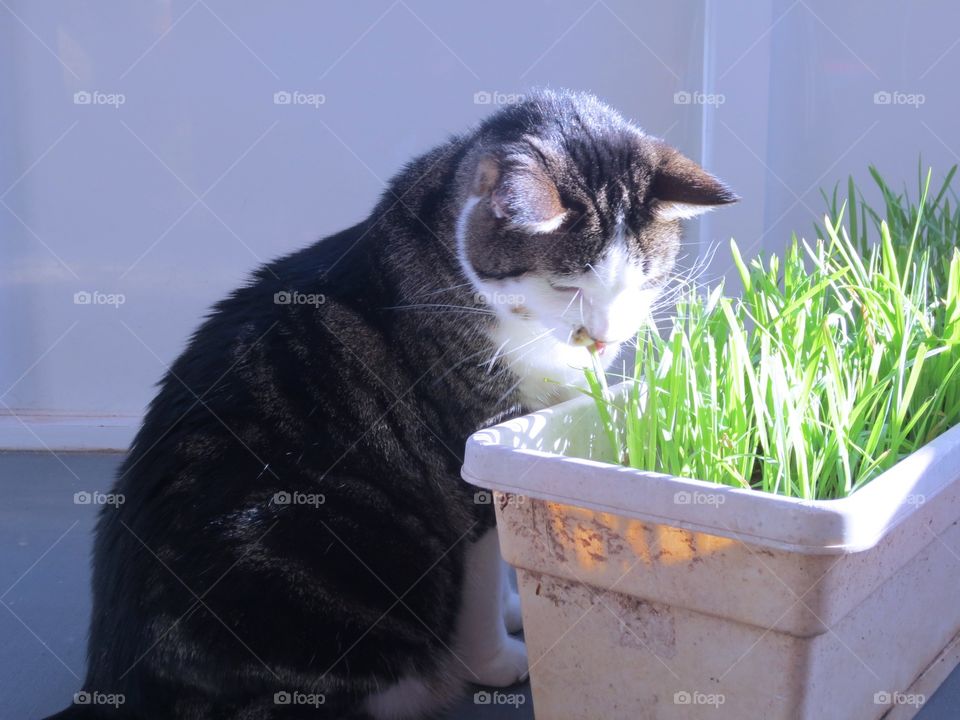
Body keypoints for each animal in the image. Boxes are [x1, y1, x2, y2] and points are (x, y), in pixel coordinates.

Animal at [45, 90, 736, 720]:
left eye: (644, 280)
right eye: (566, 284)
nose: (605, 337)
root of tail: (110, 687)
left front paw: (519, 605)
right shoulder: (470, 459)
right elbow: (481, 578)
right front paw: (496, 658)